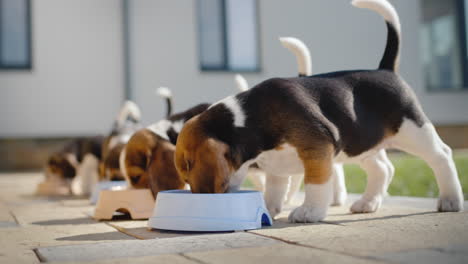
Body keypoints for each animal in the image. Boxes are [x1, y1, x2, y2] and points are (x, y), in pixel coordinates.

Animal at [175, 0, 464, 223]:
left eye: (188, 167)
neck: (248, 119)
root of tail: (385, 69)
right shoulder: (276, 165)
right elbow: (274, 190)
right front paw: (268, 210)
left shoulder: (317, 148)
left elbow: (316, 184)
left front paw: (309, 212)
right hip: (362, 143)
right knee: (383, 169)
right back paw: (368, 203)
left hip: (413, 130)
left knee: (441, 155)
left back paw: (451, 199)